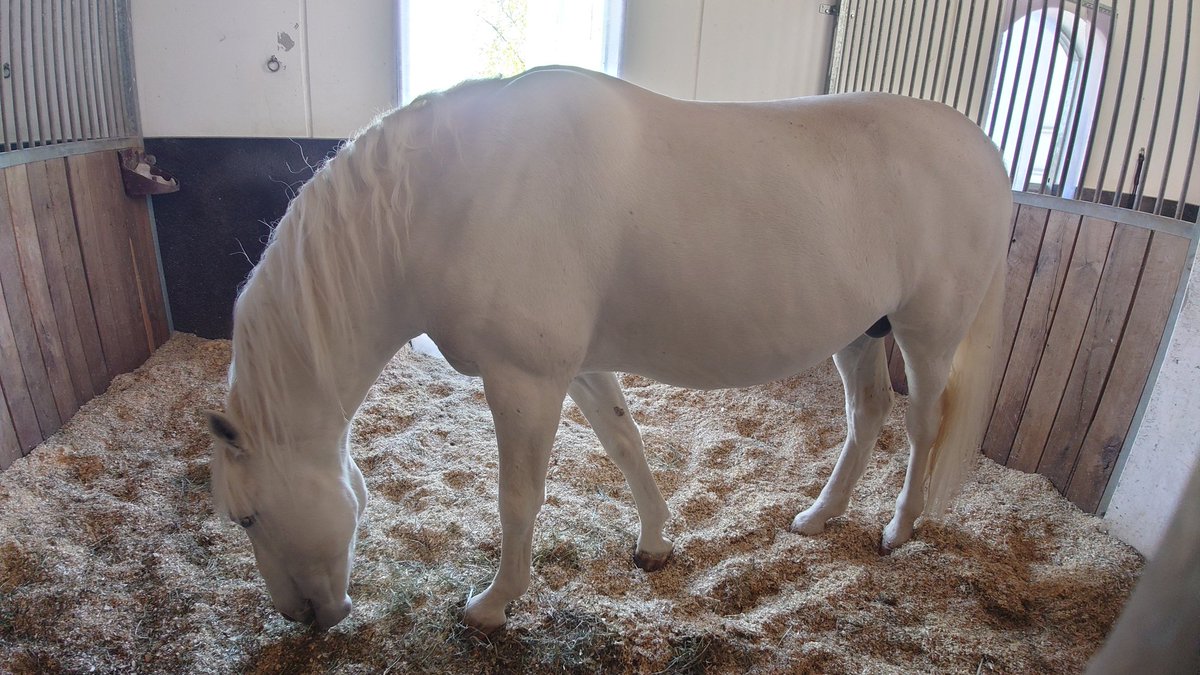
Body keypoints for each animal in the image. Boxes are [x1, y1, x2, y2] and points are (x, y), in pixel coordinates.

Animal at [205, 65, 1010, 632]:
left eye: (247, 517)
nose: (305, 618)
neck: (448, 199)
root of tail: (983, 149)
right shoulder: (580, 368)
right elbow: (626, 446)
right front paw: (654, 544)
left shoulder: (523, 379)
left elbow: (519, 498)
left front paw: (492, 604)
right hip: (859, 333)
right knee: (867, 414)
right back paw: (820, 517)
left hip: (926, 334)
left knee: (922, 427)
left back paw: (897, 528)